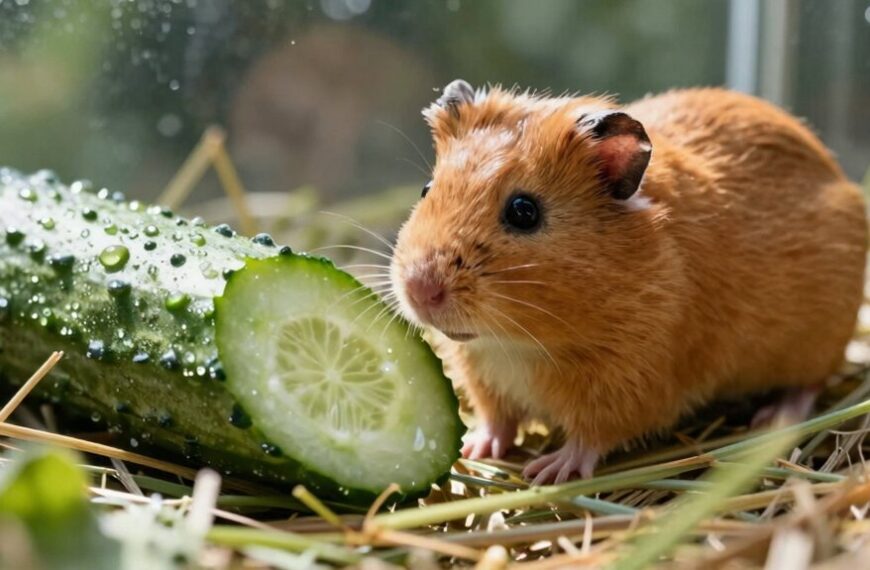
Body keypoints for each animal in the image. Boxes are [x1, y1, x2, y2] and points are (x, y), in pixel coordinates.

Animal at [389, 79, 868, 485]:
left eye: (524, 211)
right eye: (426, 189)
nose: (421, 290)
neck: (517, 344)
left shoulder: (630, 383)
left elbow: (590, 436)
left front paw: (547, 472)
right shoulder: (484, 378)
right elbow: (497, 419)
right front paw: (475, 449)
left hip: (817, 342)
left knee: (811, 383)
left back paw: (773, 417)